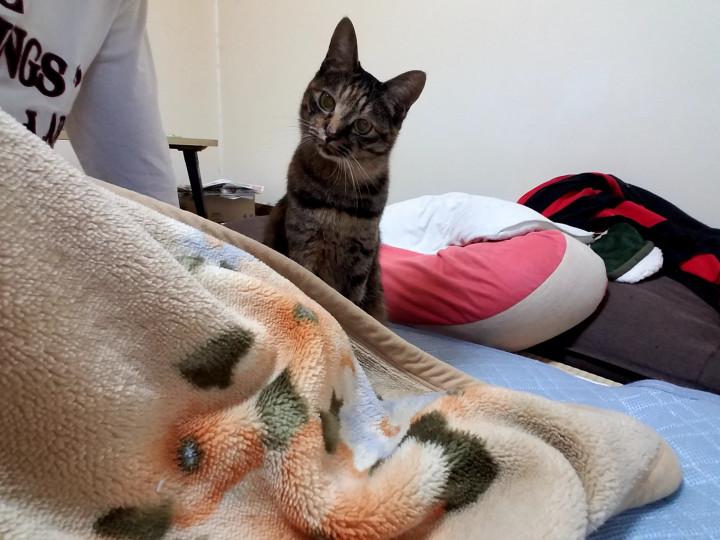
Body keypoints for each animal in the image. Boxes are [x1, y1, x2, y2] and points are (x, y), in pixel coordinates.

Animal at [264, 17, 425, 320]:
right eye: (327, 101)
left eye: (363, 125)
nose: (331, 133)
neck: (336, 189)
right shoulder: (304, 247)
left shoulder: (360, 262)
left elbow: (349, 307)